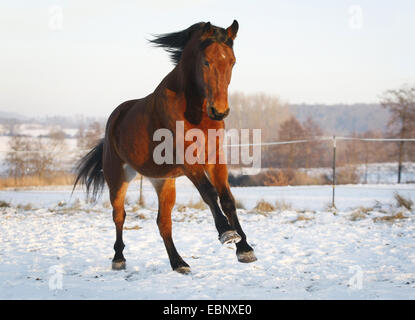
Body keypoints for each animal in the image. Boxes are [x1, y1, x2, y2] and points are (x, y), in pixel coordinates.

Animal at [73, 20, 258, 276]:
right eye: (206, 61)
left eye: (232, 61)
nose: (219, 111)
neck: (194, 111)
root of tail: (115, 118)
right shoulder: (188, 159)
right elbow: (209, 193)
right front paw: (227, 233)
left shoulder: (215, 159)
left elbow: (227, 199)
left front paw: (245, 249)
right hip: (118, 178)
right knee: (119, 216)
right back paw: (119, 259)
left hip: (163, 182)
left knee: (163, 223)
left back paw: (179, 263)